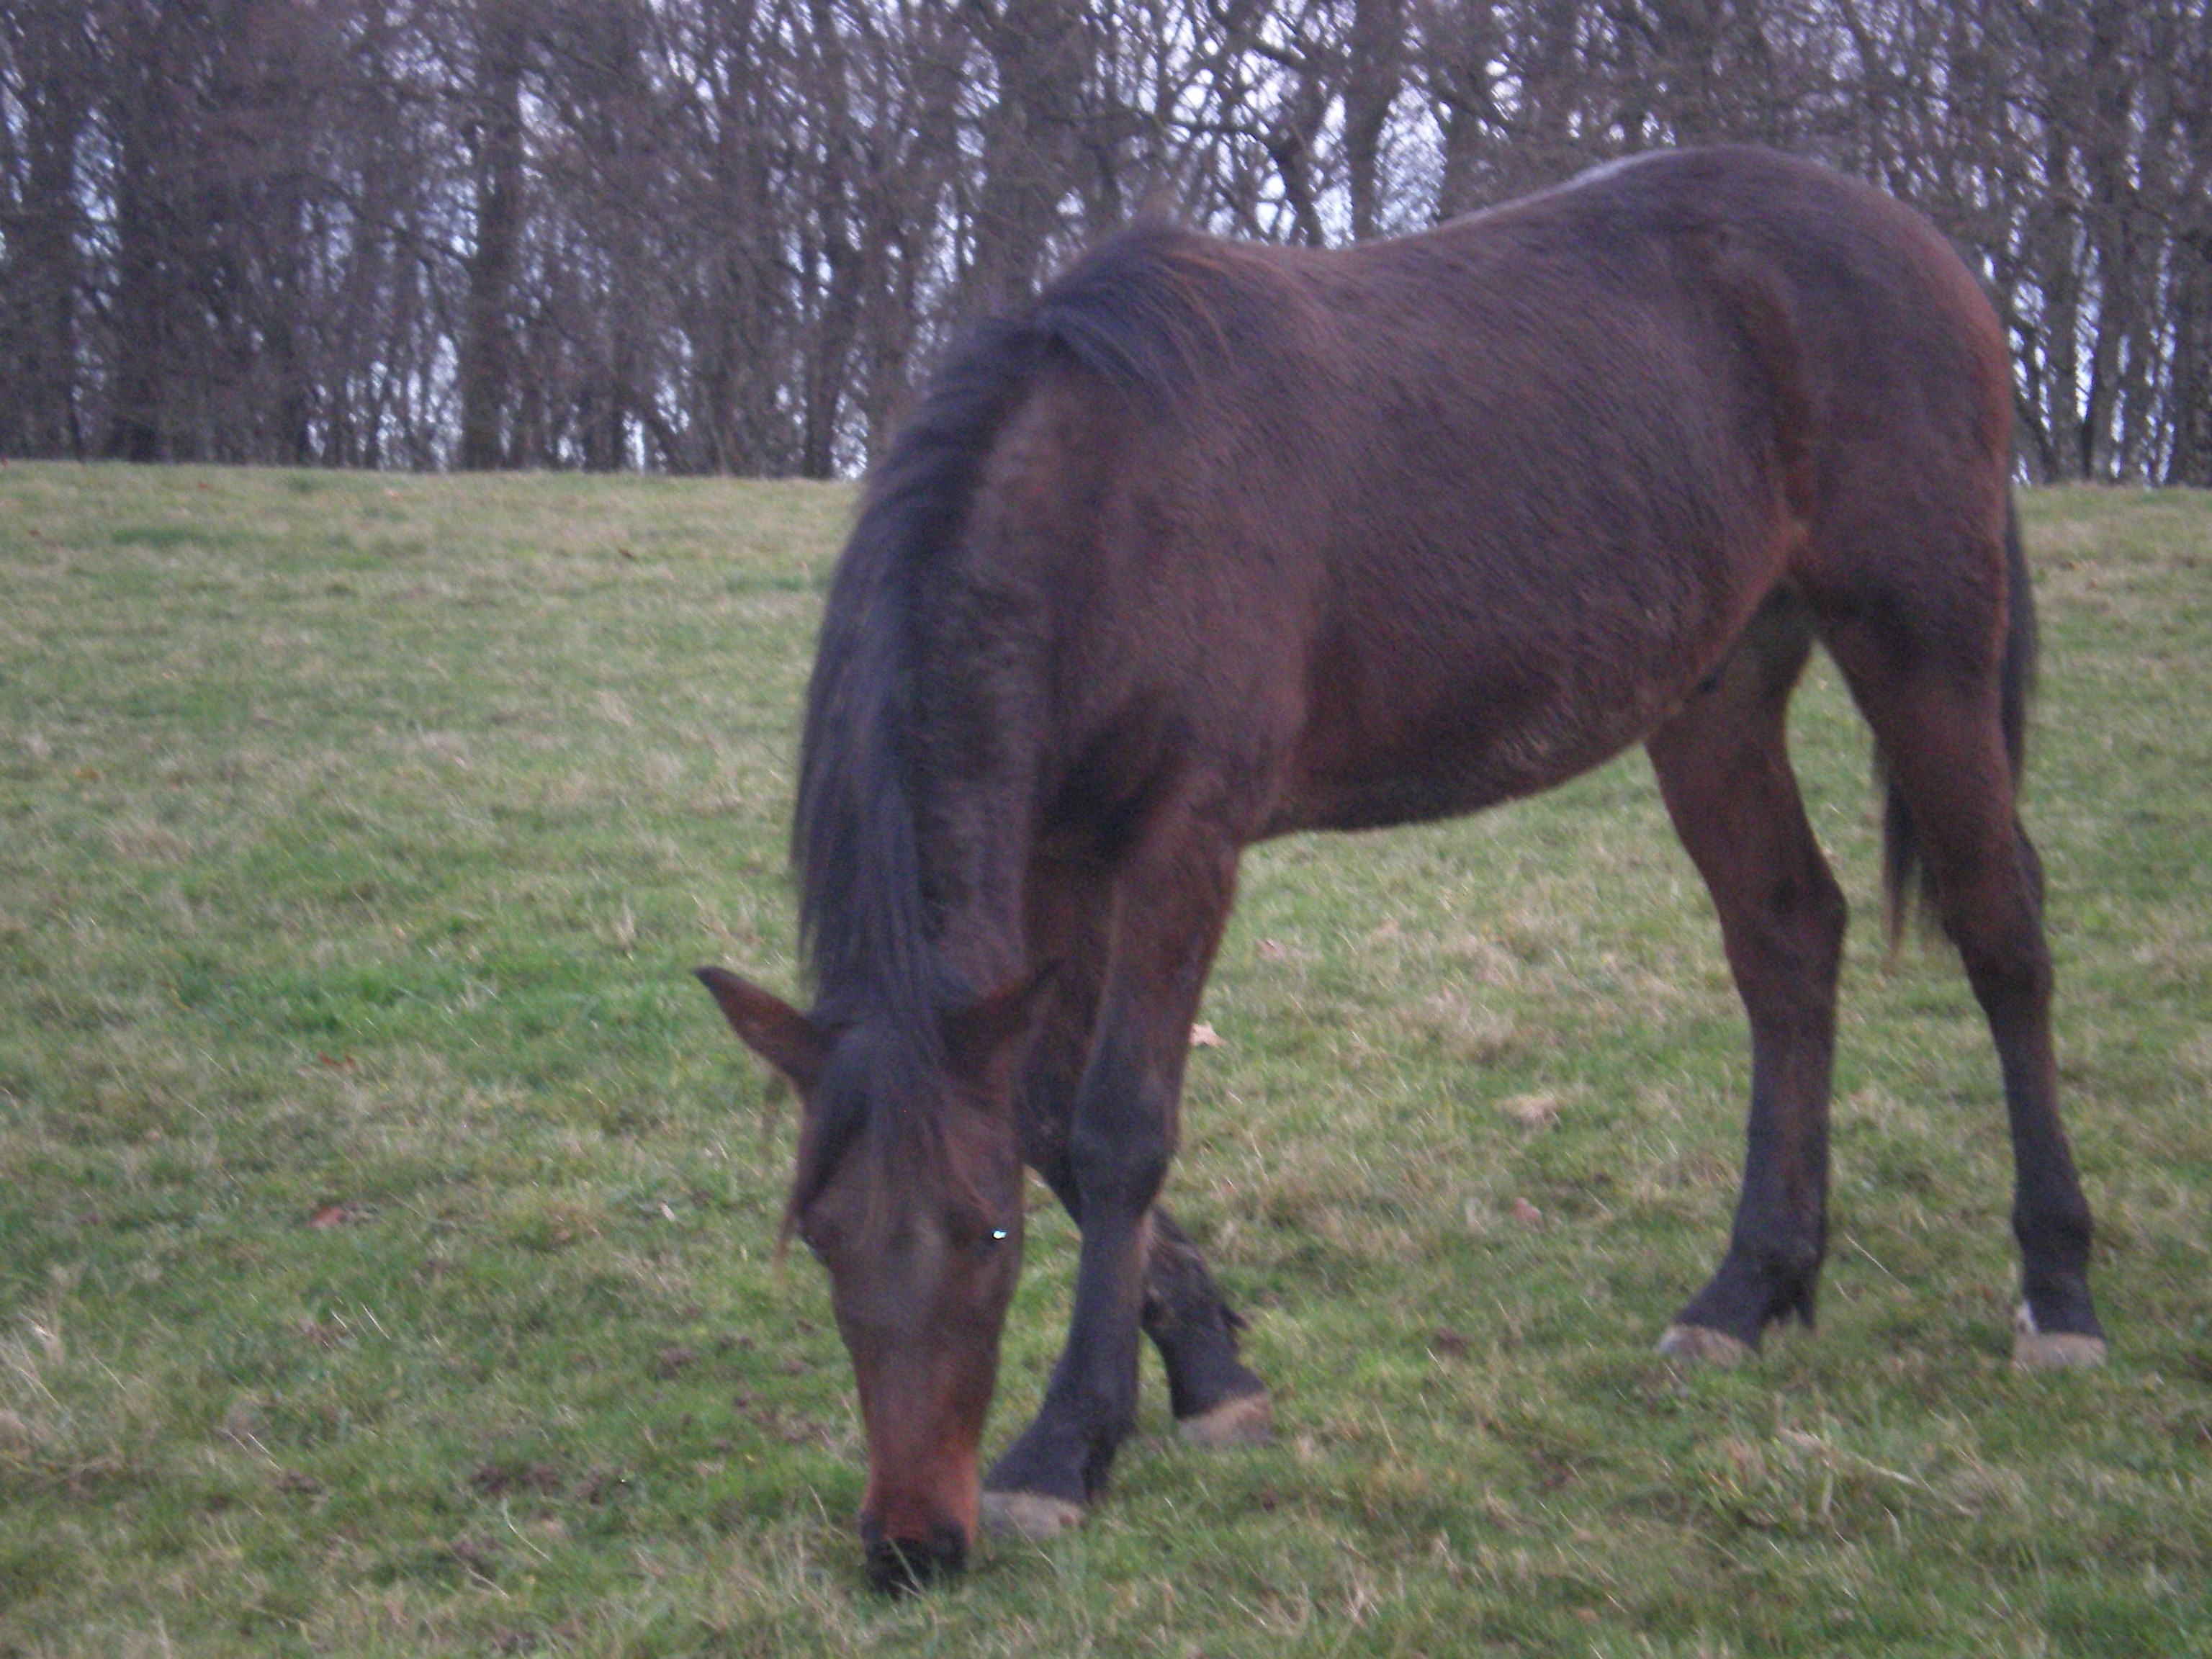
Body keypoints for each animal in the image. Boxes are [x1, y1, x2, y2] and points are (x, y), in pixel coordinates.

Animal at [694, 152, 2105, 1601]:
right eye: (821, 1233)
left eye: (986, 1236)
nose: (910, 1545)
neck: (1104, 503)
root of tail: (1913, 241)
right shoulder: (1056, 857)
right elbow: (1046, 1120)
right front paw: (1209, 1371)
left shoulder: (1183, 841)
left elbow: (1117, 1128)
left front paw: (1067, 1443)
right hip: (1714, 691)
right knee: (1789, 937)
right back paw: (1747, 1291)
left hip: (1923, 639)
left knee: (2002, 931)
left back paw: (2058, 1289)